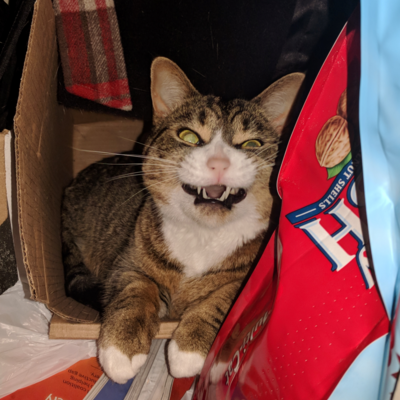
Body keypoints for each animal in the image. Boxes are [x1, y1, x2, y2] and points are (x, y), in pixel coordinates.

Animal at [61, 57, 304, 384]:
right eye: (189, 136)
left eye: (251, 143)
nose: (219, 162)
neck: (203, 234)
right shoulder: (128, 260)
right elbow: (134, 290)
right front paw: (122, 349)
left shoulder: (247, 277)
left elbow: (223, 298)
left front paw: (189, 349)